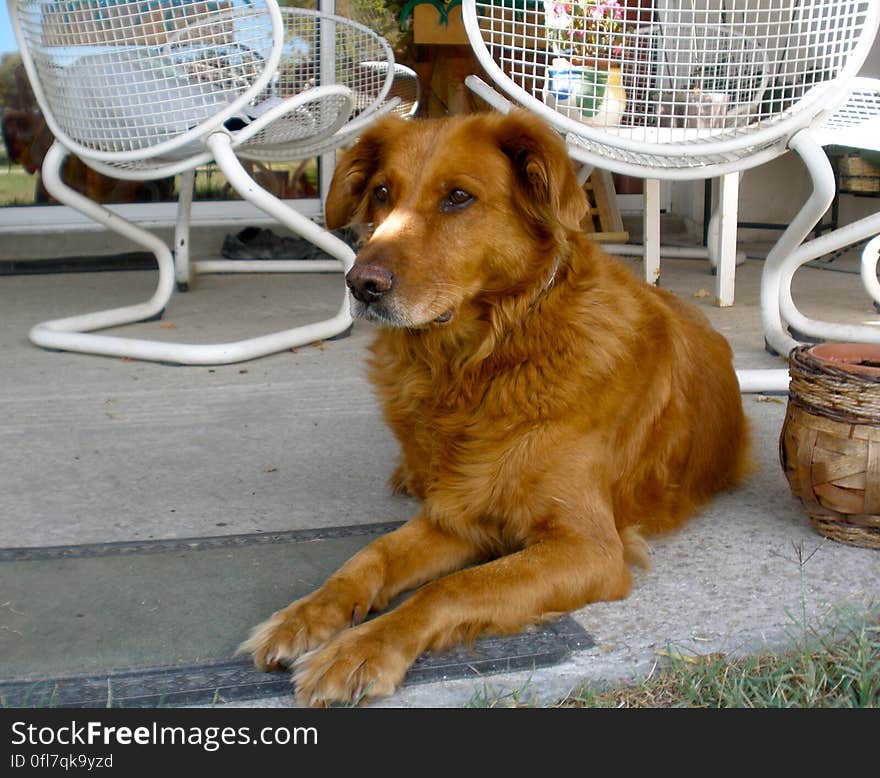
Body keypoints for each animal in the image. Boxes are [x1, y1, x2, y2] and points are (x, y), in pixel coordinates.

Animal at [241, 107, 748, 704]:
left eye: (459, 197)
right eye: (383, 192)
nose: (360, 284)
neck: (482, 363)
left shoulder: (589, 549)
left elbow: (451, 590)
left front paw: (360, 649)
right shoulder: (456, 514)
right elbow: (371, 556)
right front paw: (306, 615)